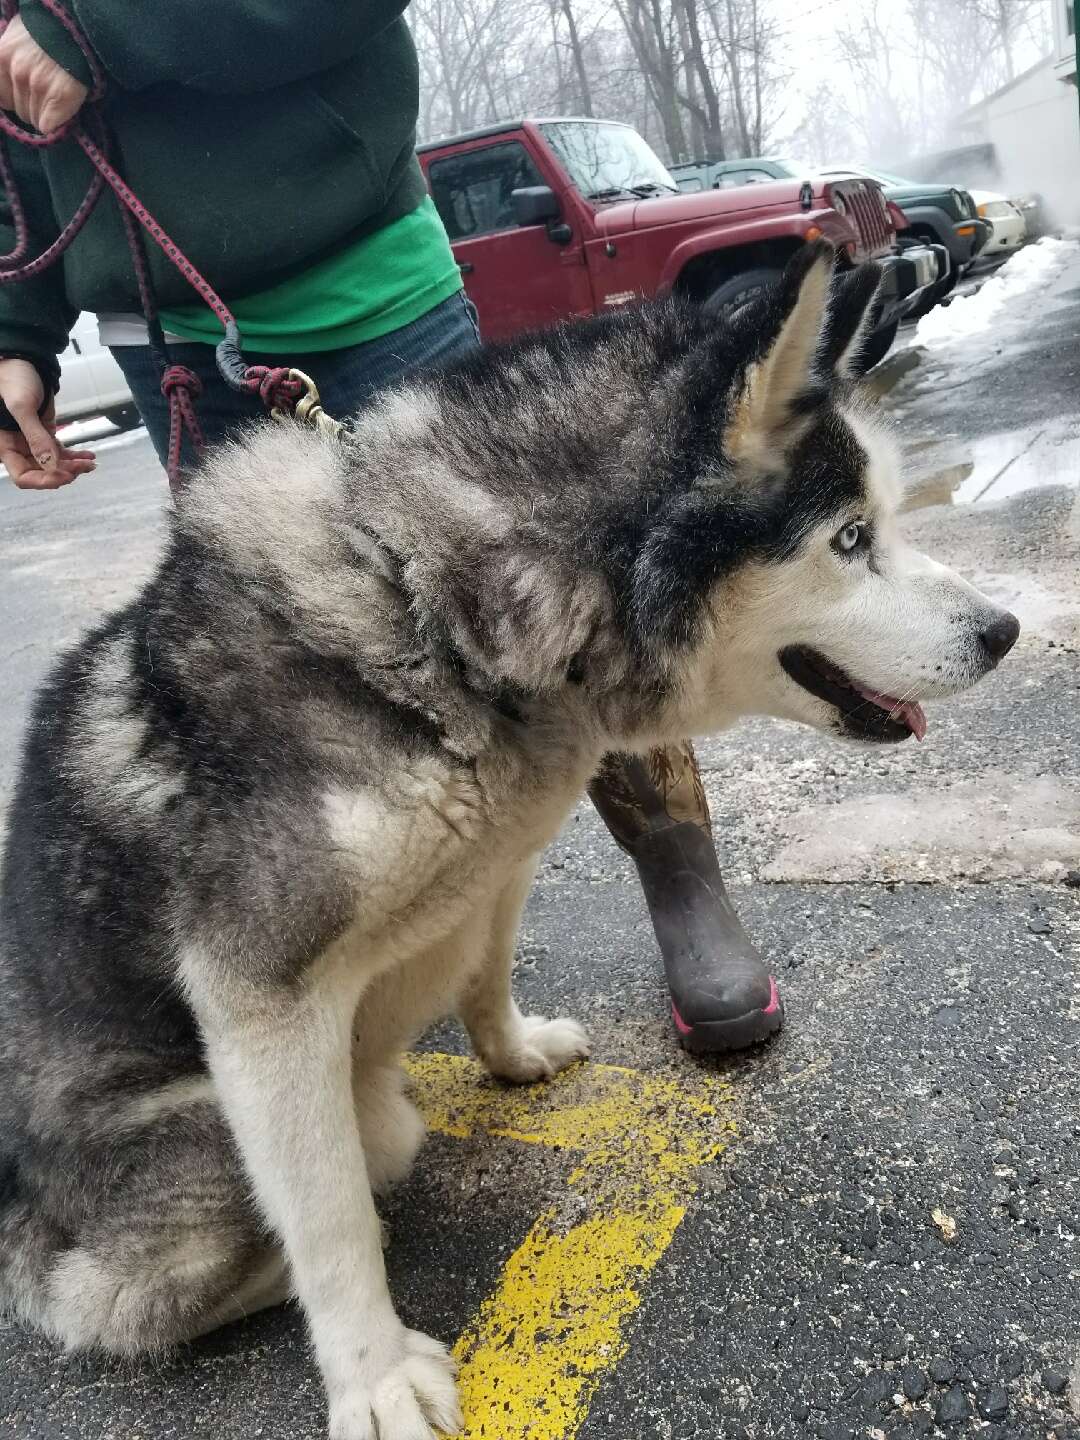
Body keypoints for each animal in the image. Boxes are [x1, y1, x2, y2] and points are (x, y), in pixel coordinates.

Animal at [0, 241, 1019, 1434]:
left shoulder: (503, 856)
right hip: (194, 1160)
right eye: (851, 540)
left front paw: (512, 1051)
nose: (1006, 631)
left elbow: (484, 967)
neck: (428, 610)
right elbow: (328, 1221)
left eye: (887, 521)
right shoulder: (260, 999)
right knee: (141, 1275)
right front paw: (373, 1376)